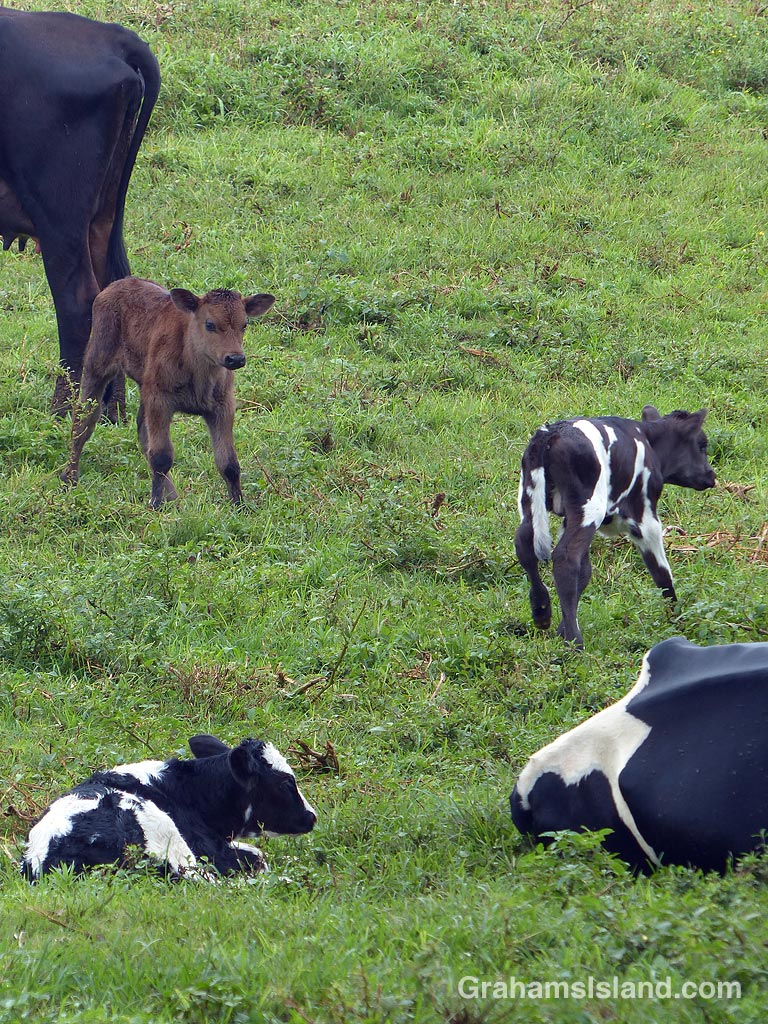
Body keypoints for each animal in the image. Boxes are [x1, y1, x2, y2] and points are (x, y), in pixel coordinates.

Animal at [0, 7, 160, 415]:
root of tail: (110, 35)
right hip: (101, 216)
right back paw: (110, 410)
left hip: (59, 215)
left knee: (76, 301)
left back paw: (65, 409)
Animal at [60, 278, 275, 507]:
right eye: (209, 324)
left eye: (244, 325)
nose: (235, 358)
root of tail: (116, 285)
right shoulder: (159, 401)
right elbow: (162, 456)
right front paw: (155, 504)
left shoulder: (222, 406)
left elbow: (228, 462)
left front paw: (240, 505)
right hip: (97, 365)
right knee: (83, 421)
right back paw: (69, 478)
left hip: (144, 385)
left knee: (141, 430)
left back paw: (172, 496)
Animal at [514, 406, 716, 648]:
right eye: (702, 444)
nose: (711, 476)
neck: (649, 440)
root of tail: (551, 432)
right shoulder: (644, 516)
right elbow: (661, 570)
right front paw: (677, 619)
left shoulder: (568, 518)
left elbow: (585, 572)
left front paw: (560, 629)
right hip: (590, 507)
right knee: (565, 557)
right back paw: (574, 641)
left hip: (531, 497)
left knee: (525, 545)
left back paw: (542, 612)